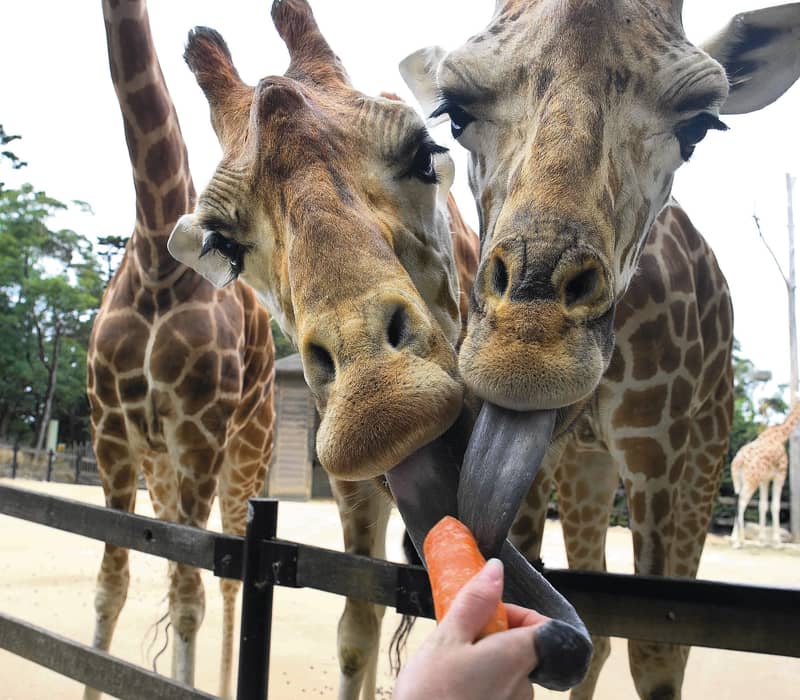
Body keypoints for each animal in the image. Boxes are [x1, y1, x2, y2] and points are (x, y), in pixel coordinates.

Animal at [86, 2, 275, 697]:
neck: (153, 261)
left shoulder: (199, 429)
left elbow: (192, 592)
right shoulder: (111, 428)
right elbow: (112, 584)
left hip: (246, 453)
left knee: (229, 576)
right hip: (160, 462)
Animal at [731, 402, 800, 547]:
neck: (781, 435)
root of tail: (738, 461)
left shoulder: (765, 479)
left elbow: (762, 505)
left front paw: (762, 540)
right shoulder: (780, 474)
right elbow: (775, 506)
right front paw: (777, 542)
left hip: (738, 480)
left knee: (736, 500)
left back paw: (735, 538)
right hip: (751, 481)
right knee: (741, 502)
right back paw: (739, 541)